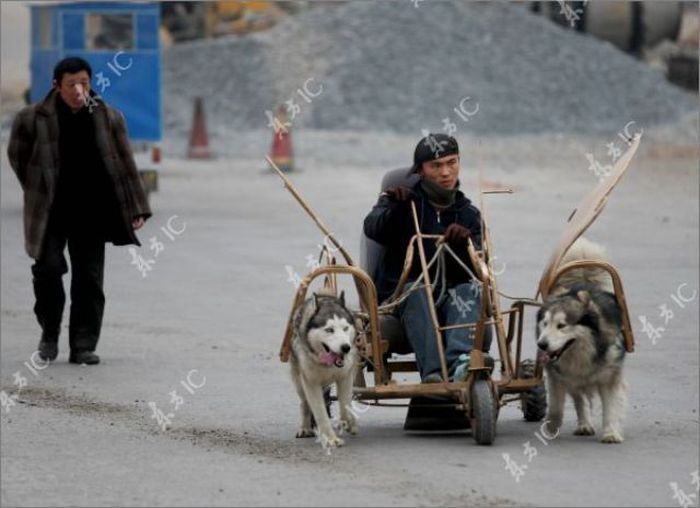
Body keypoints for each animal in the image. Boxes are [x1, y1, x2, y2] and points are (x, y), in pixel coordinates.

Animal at [290, 290, 358, 448]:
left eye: (345, 328)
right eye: (329, 330)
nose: (345, 347)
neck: (328, 364)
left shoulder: (345, 376)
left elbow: (345, 403)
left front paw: (348, 422)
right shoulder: (311, 382)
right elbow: (320, 413)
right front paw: (331, 439)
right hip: (299, 381)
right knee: (304, 403)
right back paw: (305, 427)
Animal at [536, 240, 628, 442]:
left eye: (561, 325)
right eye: (545, 324)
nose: (542, 345)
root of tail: (582, 280)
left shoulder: (610, 373)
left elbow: (610, 406)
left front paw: (611, 433)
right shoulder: (559, 375)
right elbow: (556, 408)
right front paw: (550, 427)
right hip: (573, 379)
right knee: (580, 398)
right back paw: (584, 423)